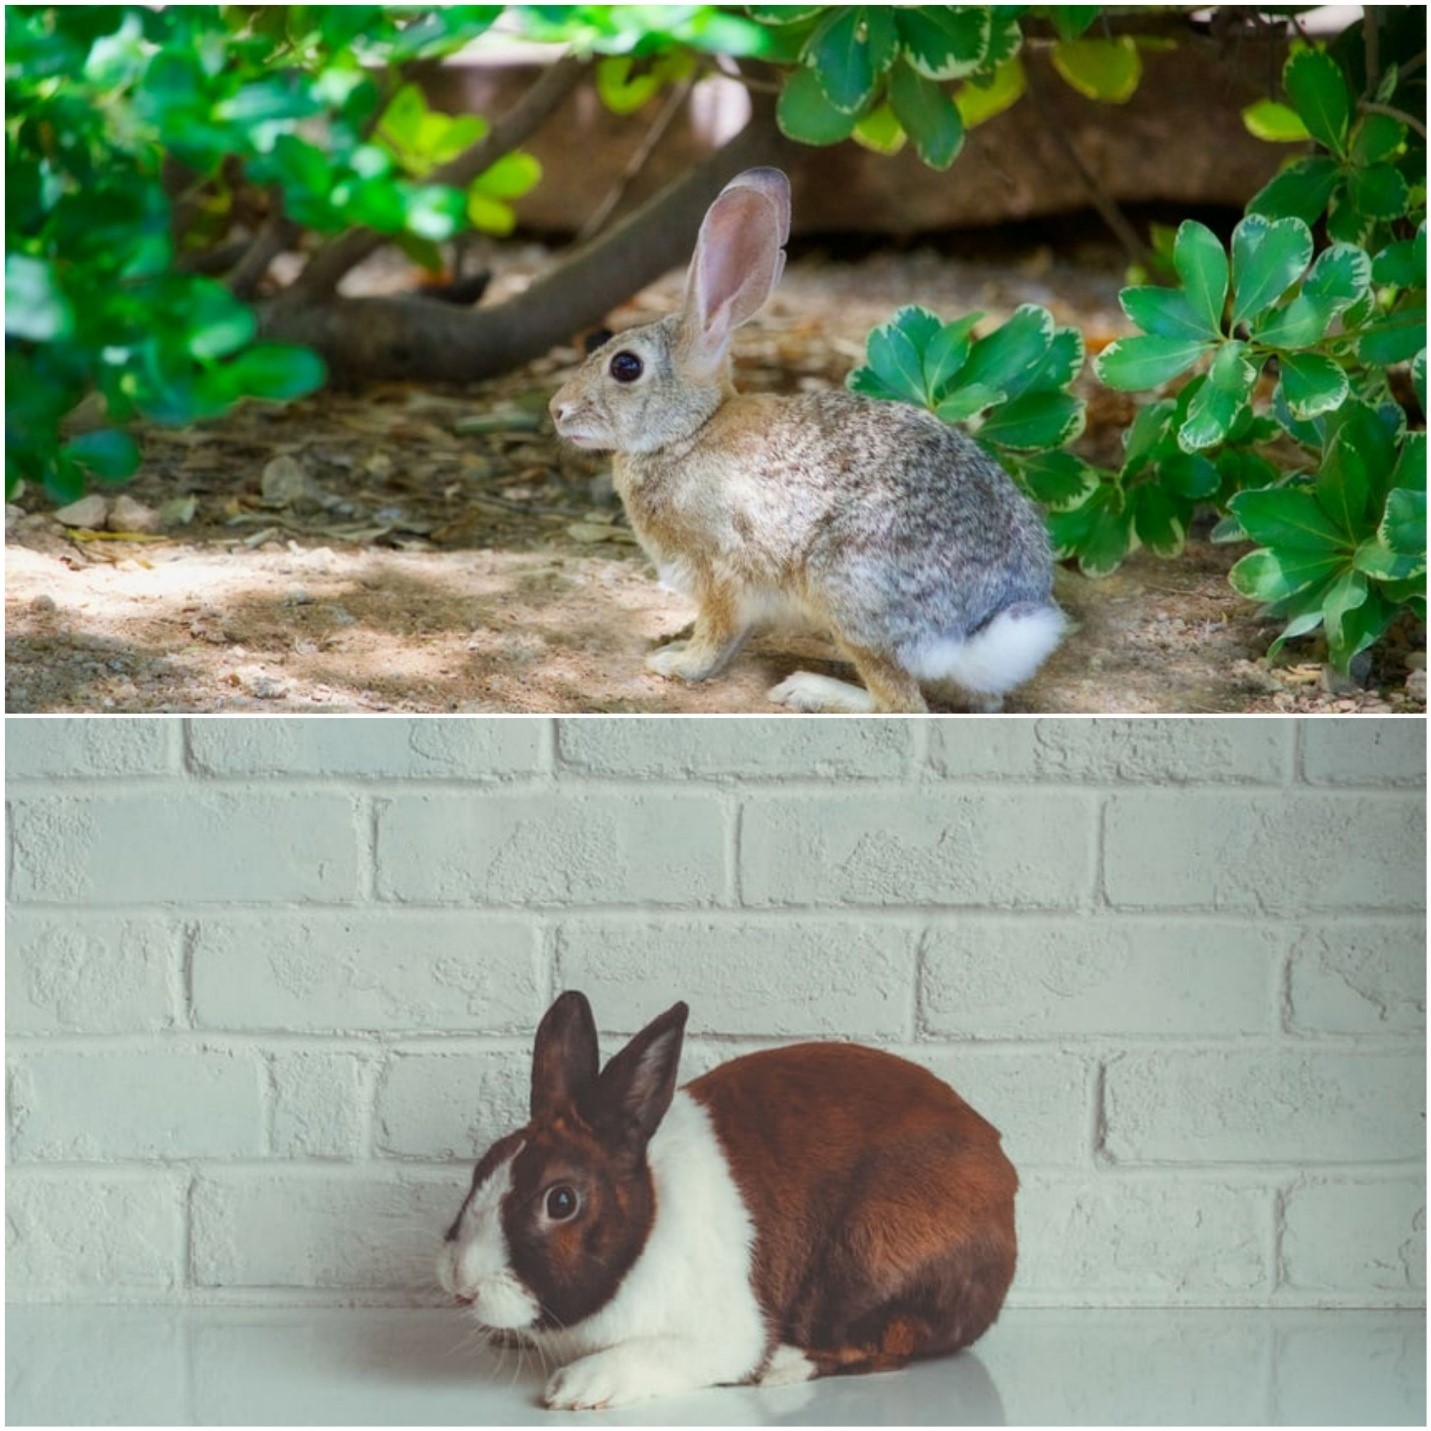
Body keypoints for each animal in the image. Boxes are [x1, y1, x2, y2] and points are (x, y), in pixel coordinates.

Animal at [437, 991, 1018, 1411]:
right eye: (484, 1165)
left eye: (560, 1201)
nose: (461, 1284)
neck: (648, 1225)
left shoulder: (722, 1334)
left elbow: (661, 1352)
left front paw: (578, 1386)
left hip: (867, 1258)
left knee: (888, 1344)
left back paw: (783, 1365)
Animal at [548, 166, 1065, 713]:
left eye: (625, 366)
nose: (557, 410)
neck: (691, 430)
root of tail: (985, 627)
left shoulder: (722, 570)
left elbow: (717, 632)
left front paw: (677, 663)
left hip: (848, 591)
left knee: (901, 704)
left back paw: (810, 689)